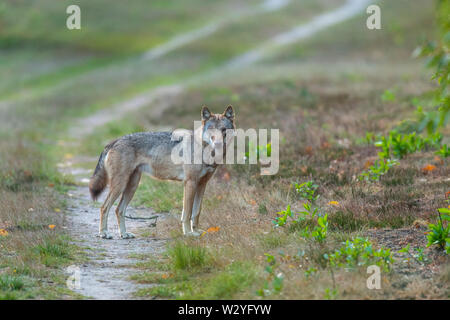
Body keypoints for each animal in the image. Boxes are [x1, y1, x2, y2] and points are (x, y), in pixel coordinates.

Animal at [89, 106, 236, 239]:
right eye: (211, 129)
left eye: (224, 129)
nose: (218, 143)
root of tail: (114, 141)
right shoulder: (190, 183)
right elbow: (187, 213)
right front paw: (188, 233)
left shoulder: (202, 184)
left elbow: (196, 211)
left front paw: (197, 231)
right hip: (120, 186)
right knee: (104, 207)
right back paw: (104, 233)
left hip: (132, 186)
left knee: (118, 210)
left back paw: (124, 234)